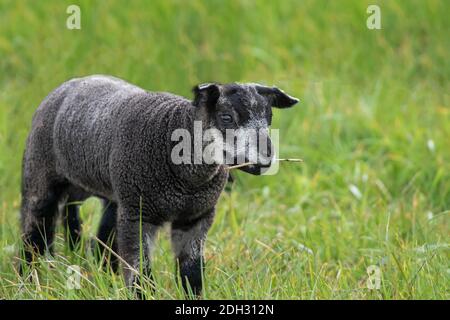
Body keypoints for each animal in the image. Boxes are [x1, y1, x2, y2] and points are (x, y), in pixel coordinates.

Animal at [20, 74, 298, 296]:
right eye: (226, 117)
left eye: (269, 118)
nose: (265, 159)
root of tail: (70, 83)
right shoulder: (139, 215)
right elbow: (139, 269)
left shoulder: (197, 217)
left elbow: (191, 271)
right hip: (40, 176)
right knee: (33, 235)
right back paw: (28, 282)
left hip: (114, 196)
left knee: (101, 242)